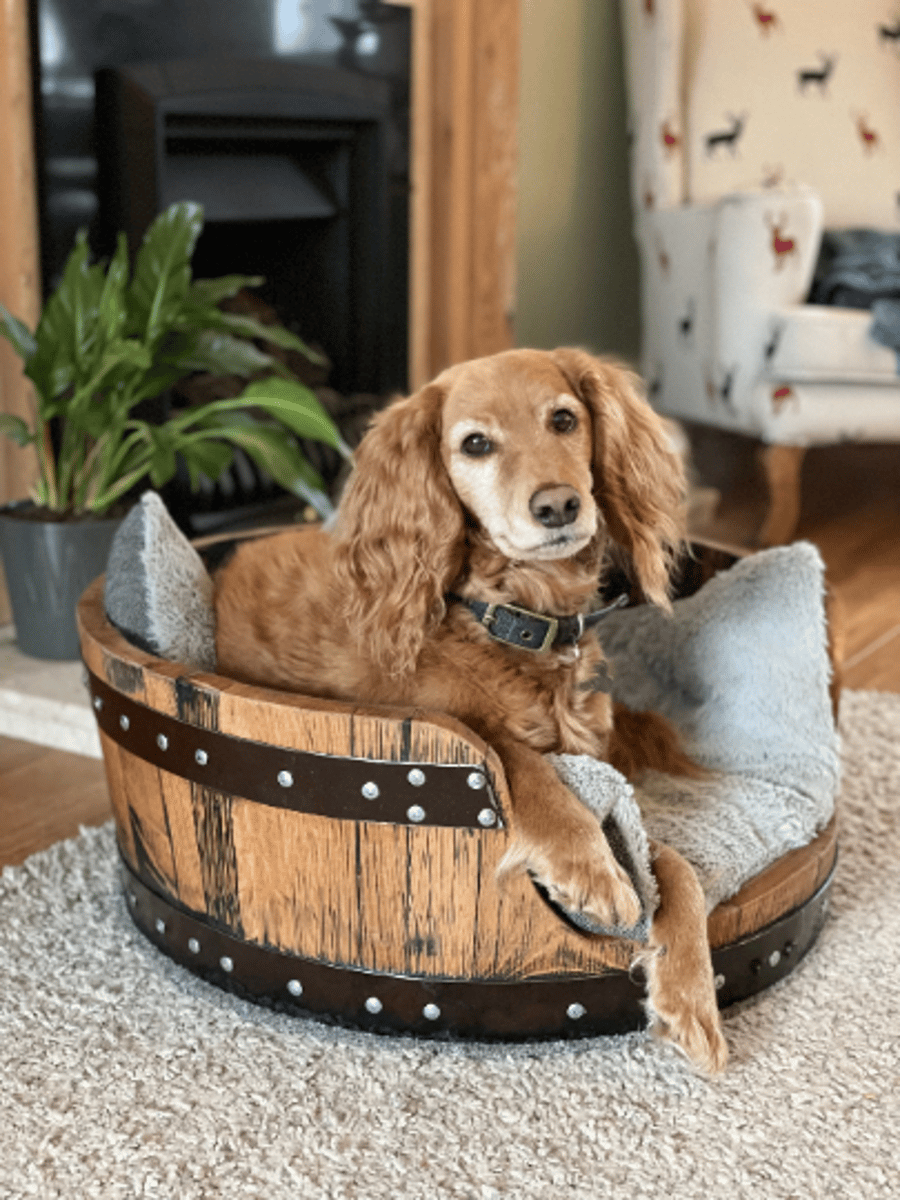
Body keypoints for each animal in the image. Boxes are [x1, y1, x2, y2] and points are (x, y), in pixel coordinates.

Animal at [214, 350, 729, 1080]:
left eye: (563, 419)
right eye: (476, 444)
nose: (558, 505)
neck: (511, 620)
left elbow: (678, 872)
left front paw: (691, 999)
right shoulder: (452, 733)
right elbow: (519, 763)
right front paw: (591, 869)